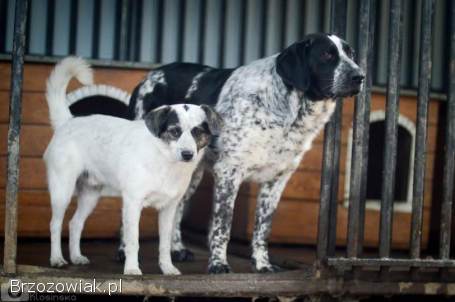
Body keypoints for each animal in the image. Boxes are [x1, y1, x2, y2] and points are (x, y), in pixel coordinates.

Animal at [44, 57, 223, 276]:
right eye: (174, 131)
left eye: (198, 132)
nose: (188, 154)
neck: (164, 161)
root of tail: (68, 122)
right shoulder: (132, 203)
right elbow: (132, 241)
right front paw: (131, 269)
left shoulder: (169, 209)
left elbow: (165, 244)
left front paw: (168, 268)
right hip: (62, 190)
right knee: (55, 224)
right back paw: (56, 259)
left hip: (90, 194)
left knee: (75, 223)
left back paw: (76, 256)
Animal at [85, 33, 366, 274]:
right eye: (326, 55)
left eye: (351, 54)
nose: (360, 76)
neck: (285, 109)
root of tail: (149, 76)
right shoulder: (229, 172)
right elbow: (222, 224)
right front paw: (218, 264)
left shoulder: (277, 180)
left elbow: (263, 228)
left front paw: (262, 264)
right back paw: (124, 250)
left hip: (191, 174)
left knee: (178, 208)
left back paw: (177, 249)